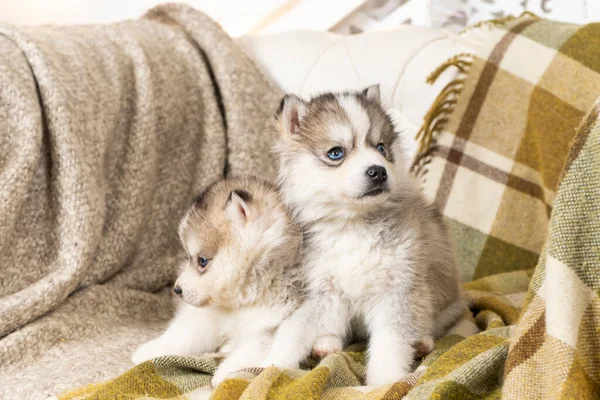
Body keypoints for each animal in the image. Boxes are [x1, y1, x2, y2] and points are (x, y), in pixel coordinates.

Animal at [131, 177, 300, 386]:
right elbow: (183, 335)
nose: (177, 289)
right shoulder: (208, 316)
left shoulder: (271, 326)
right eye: (188, 257)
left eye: (202, 261)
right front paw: (152, 349)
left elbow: (251, 350)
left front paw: (229, 372)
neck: (242, 300)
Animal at [258, 86, 464, 386]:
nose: (378, 171)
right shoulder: (323, 290)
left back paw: (422, 341)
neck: (353, 226)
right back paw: (326, 342)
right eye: (336, 153)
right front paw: (269, 365)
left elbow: (391, 344)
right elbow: (294, 330)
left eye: (381, 148)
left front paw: (385, 381)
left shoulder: (397, 290)